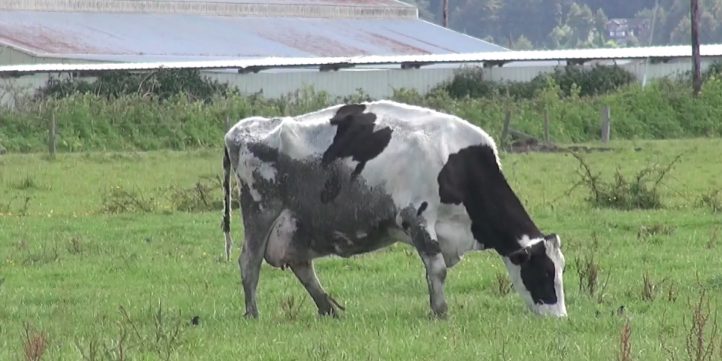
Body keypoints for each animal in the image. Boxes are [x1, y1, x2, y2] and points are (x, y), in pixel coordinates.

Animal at [222, 100, 564, 316]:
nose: (559, 317)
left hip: (298, 223)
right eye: (544, 272)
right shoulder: (418, 218)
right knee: (249, 262)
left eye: (561, 270)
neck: (457, 164)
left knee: (301, 264)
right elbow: (437, 269)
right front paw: (440, 311)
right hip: (260, 211)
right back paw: (253, 313)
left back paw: (329, 308)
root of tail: (243, 128)